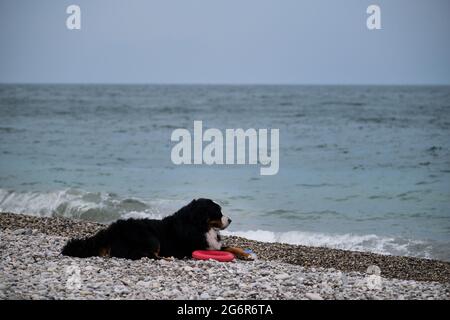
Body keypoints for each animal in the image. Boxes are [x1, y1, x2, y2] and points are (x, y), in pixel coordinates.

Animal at [61, 199, 253, 262]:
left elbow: (232, 247)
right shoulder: (198, 247)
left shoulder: (214, 246)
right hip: (150, 237)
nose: (230, 219)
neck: (199, 225)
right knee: (142, 254)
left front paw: (246, 254)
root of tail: (112, 229)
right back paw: (167, 258)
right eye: (217, 211)